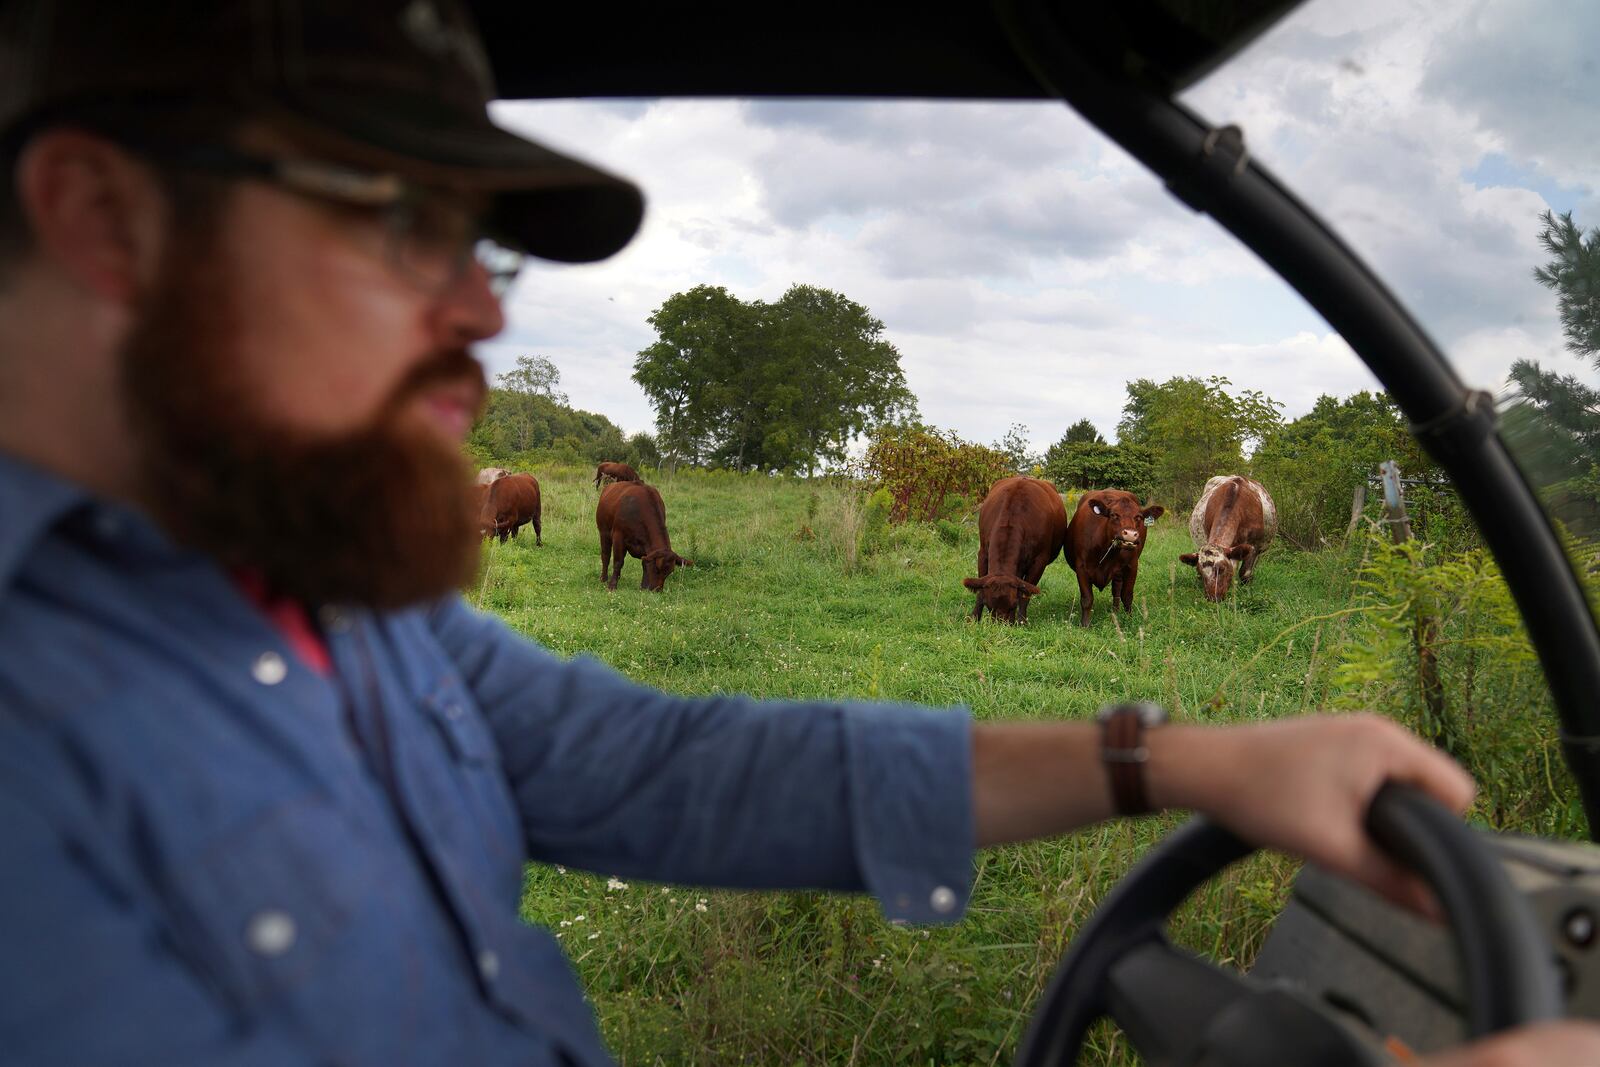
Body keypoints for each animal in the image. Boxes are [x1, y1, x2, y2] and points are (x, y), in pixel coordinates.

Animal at [960, 476, 1062, 627]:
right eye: (989, 606)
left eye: (1013, 605)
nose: (1002, 625)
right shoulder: (983, 553)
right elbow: (980, 590)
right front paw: (974, 618)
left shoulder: (1040, 561)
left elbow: (1025, 594)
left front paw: (1021, 622)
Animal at [1062, 489, 1164, 630]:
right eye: (1114, 515)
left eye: (1138, 517)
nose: (1130, 534)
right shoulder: (1081, 567)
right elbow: (1087, 599)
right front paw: (1085, 624)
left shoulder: (1132, 566)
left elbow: (1127, 596)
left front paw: (1129, 619)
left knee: (1116, 591)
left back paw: (1115, 613)